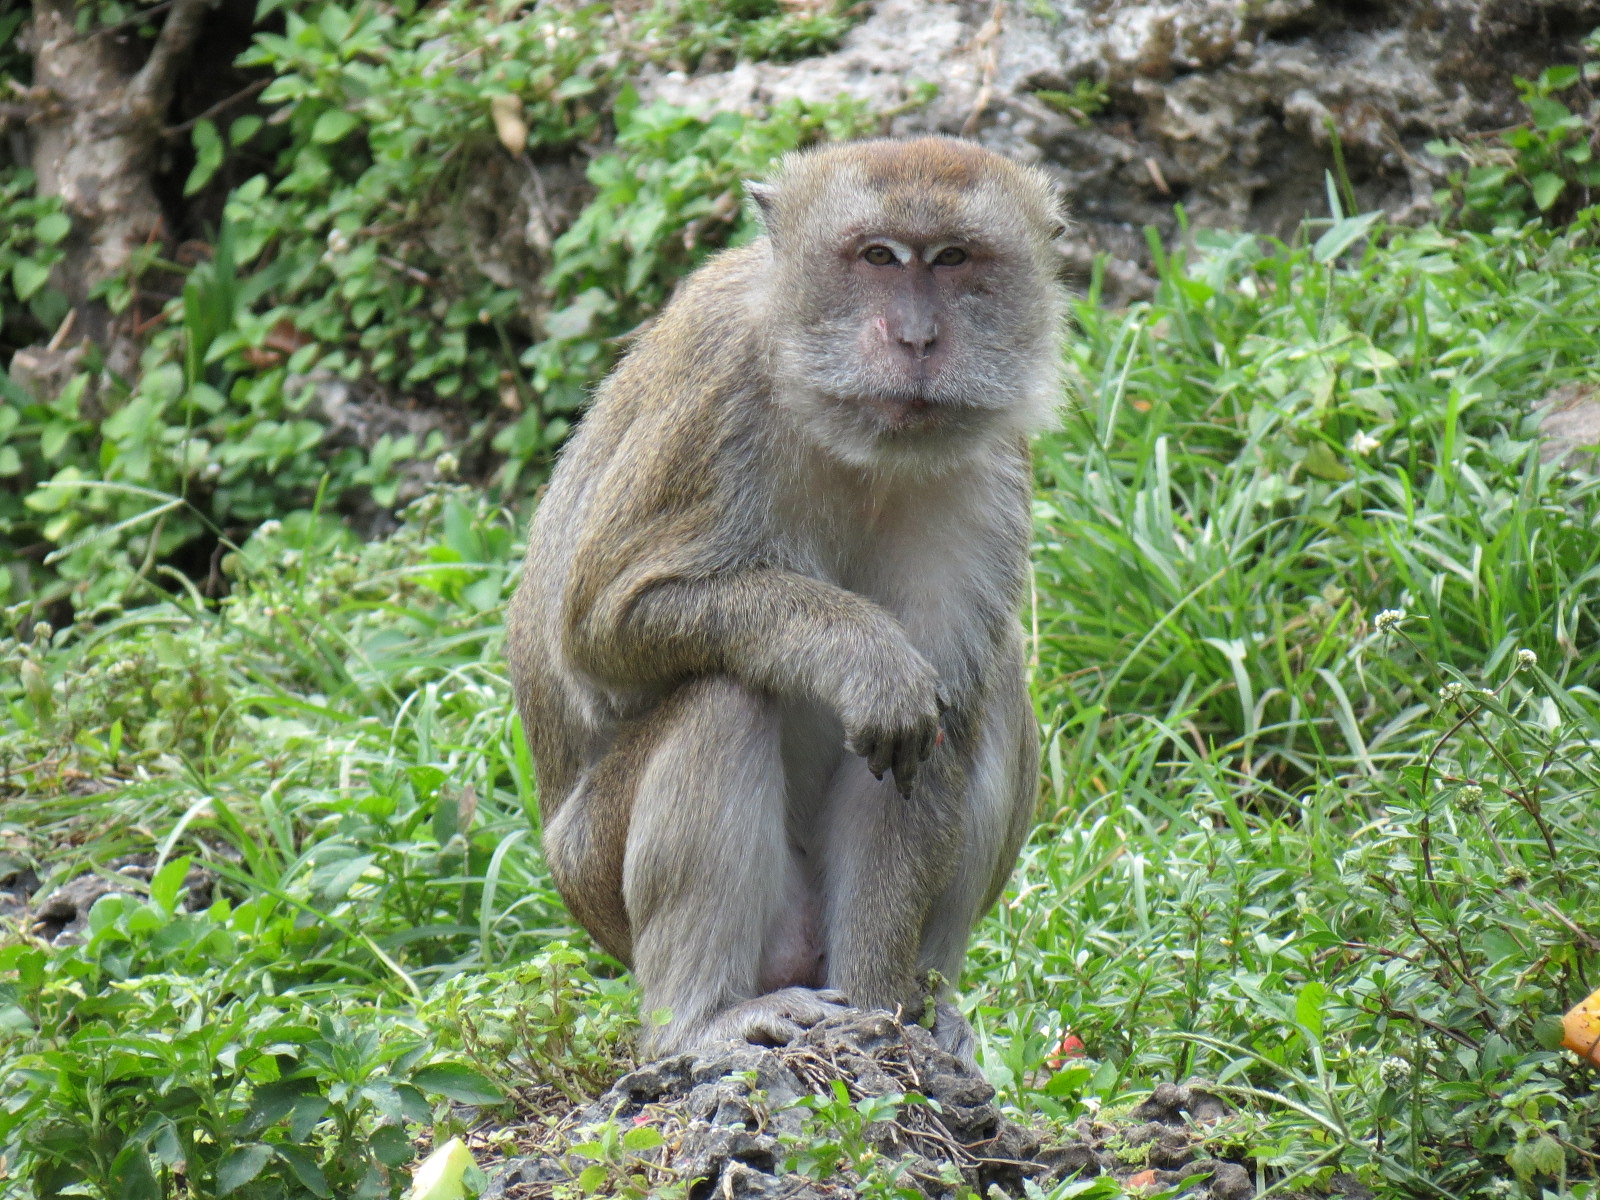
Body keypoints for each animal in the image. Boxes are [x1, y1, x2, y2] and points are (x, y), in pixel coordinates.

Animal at [505, 136, 1066, 1062]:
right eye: (878, 257)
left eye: (953, 259)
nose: (916, 337)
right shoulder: (714, 391)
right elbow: (600, 625)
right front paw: (862, 655)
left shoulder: (989, 463)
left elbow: (930, 733)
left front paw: (880, 1015)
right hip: (594, 874)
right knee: (723, 696)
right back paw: (704, 1020)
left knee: (993, 689)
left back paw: (929, 1009)